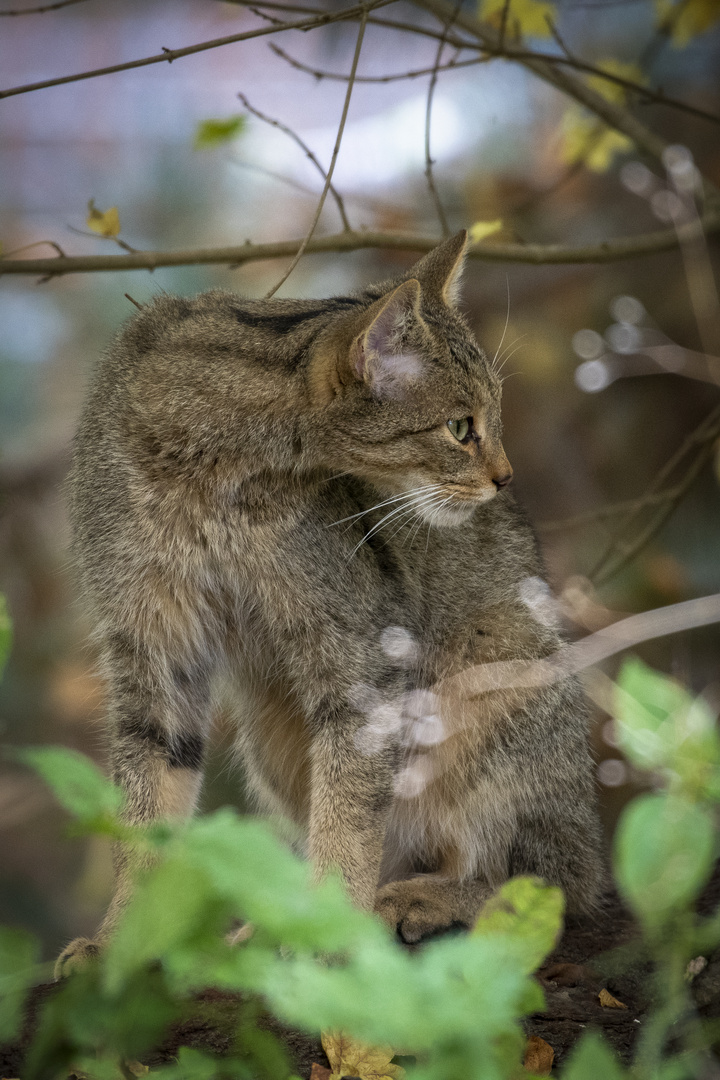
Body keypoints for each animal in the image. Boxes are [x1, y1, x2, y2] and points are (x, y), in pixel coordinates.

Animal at [55, 230, 604, 980]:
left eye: (490, 418)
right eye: (461, 427)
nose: (504, 477)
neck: (215, 468)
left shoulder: (360, 657)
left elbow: (348, 815)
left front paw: (326, 931)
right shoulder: (151, 642)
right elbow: (144, 807)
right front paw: (119, 942)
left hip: (495, 682)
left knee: (557, 879)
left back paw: (422, 897)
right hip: (270, 732)